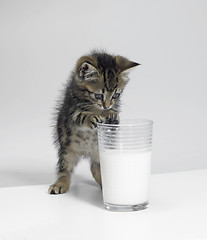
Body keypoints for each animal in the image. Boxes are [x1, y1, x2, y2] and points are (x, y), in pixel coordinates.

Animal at [48, 51, 139, 195]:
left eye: (116, 95)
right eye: (98, 95)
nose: (107, 106)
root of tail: (87, 152)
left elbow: (114, 117)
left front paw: (111, 114)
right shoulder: (71, 111)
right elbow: (80, 115)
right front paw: (92, 117)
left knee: (96, 169)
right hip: (67, 151)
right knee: (65, 169)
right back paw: (60, 184)